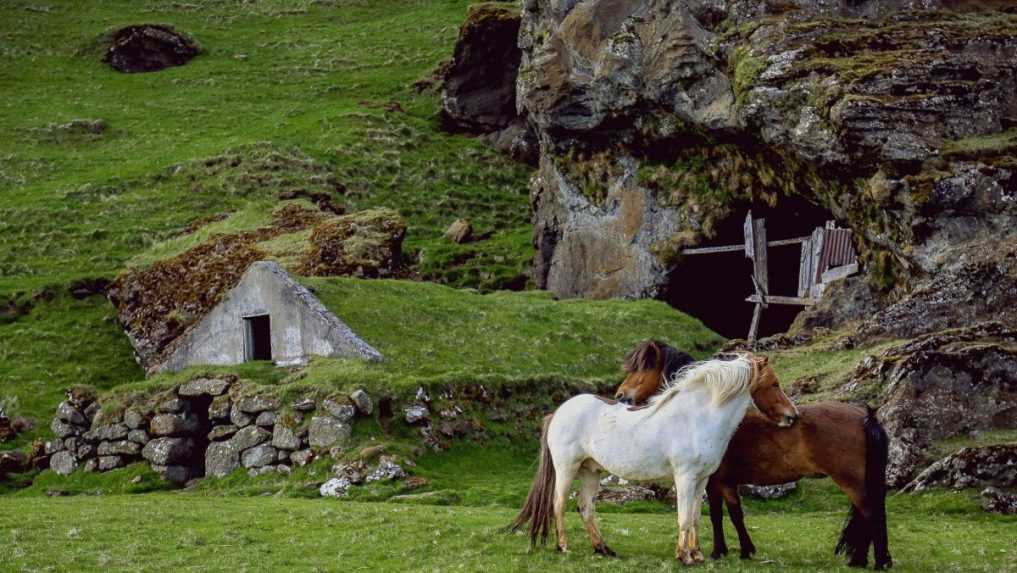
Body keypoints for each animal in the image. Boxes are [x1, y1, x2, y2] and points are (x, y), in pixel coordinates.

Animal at [508, 354, 793, 565]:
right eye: (774, 384)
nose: (792, 416)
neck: (696, 418)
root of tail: (558, 412)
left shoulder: (701, 480)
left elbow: (695, 517)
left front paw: (697, 554)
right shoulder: (685, 477)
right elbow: (683, 517)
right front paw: (684, 557)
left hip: (591, 471)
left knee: (585, 507)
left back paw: (603, 549)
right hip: (567, 468)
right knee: (558, 504)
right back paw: (564, 547)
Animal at [610, 339, 890, 569]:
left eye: (640, 369)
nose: (620, 395)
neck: (705, 413)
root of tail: (866, 415)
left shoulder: (715, 482)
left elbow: (721, 514)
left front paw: (723, 551)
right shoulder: (721, 482)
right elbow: (731, 514)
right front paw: (739, 550)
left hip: (851, 482)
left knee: (870, 513)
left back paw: (870, 561)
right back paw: (865, 560)